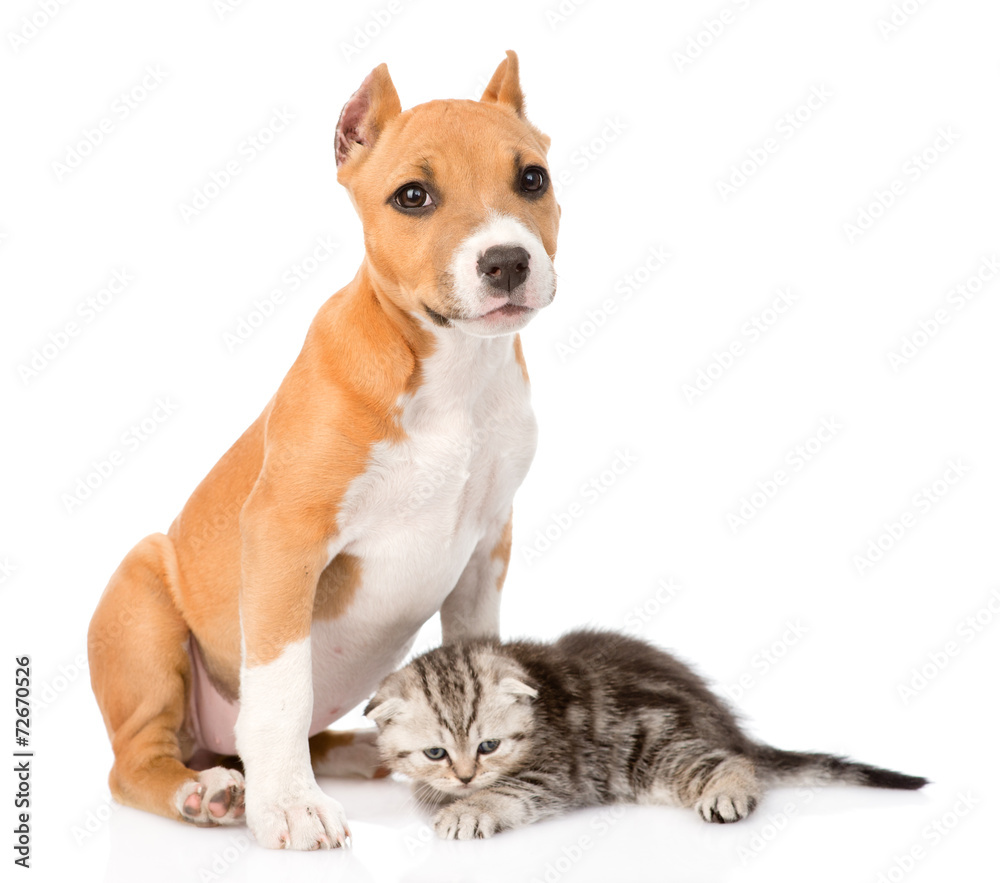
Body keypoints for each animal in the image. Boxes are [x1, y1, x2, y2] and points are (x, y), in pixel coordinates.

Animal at [89, 51, 560, 852]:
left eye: (532, 178)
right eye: (412, 196)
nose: (505, 261)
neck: (455, 375)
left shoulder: (484, 550)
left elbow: (473, 653)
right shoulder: (285, 537)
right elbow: (282, 687)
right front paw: (288, 806)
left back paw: (364, 749)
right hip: (143, 604)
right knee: (138, 761)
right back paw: (206, 791)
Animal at [364, 628, 924, 844]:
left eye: (488, 746)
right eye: (435, 752)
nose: (464, 777)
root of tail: (724, 722)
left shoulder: (556, 772)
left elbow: (509, 790)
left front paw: (467, 810)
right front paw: (447, 798)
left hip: (654, 749)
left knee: (730, 762)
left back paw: (728, 793)